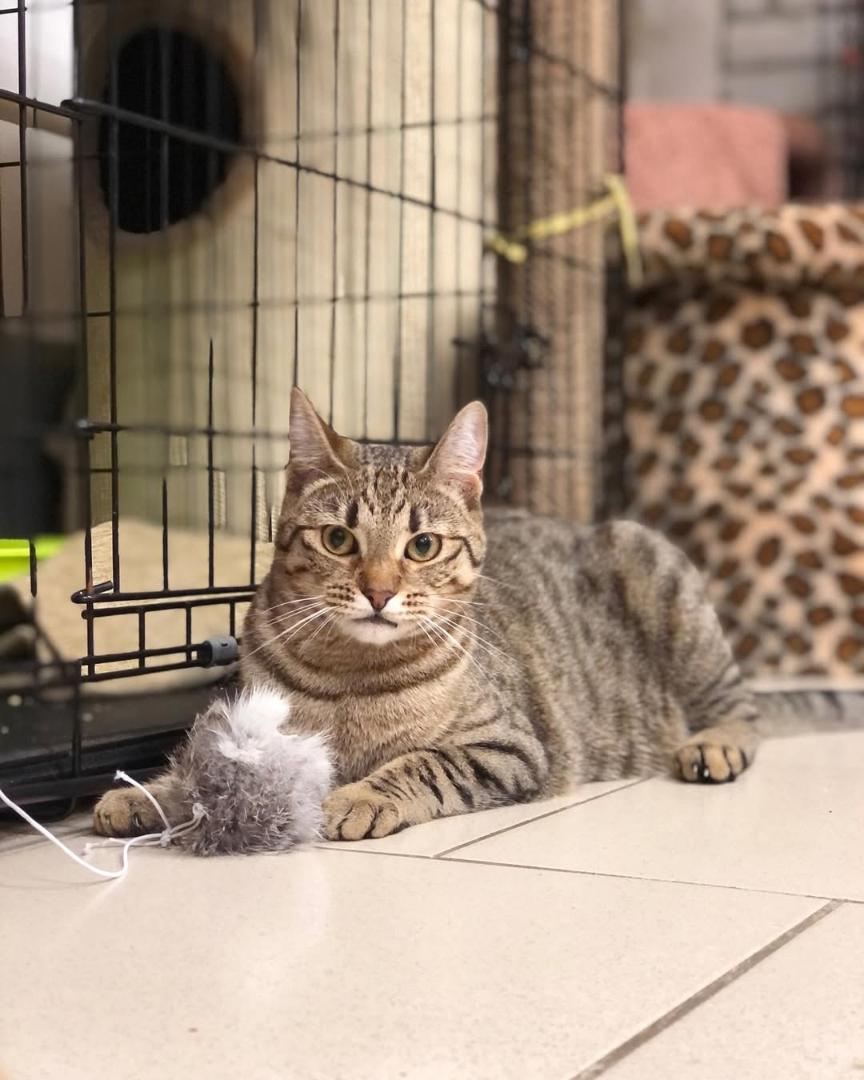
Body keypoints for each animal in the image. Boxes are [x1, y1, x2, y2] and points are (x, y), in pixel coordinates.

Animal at [94, 387, 857, 842]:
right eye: (338, 539)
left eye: (422, 545)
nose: (377, 590)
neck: (350, 676)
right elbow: (204, 765)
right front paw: (153, 792)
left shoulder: (509, 746)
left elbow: (423, 765)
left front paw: (360, 796)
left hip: (661, 579)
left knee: (745, 710)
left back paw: (715, 743)